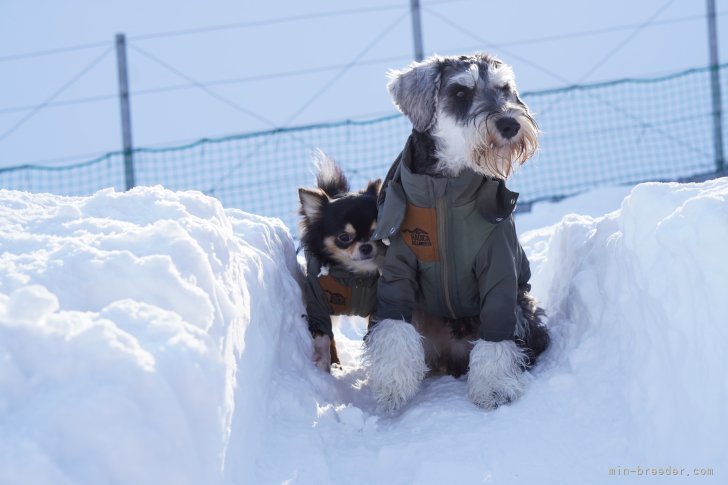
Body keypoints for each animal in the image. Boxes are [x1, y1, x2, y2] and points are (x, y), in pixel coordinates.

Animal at [298, 150, 384, 370]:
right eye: (344, 237)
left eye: (375, 233)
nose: (366, 247)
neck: (353, 276)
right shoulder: (319, 303)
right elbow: (323, 337)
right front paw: (323, 362)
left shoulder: (377, 307)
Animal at [366, 52, 548, 408]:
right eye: (460, 92)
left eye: (504, 89)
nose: (510, 124)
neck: (444, 189)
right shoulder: (397, 273)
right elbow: (394, 328)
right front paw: (393, 387)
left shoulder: (500, 271)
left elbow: (496, 336)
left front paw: (494, 387)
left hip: (524, 309)